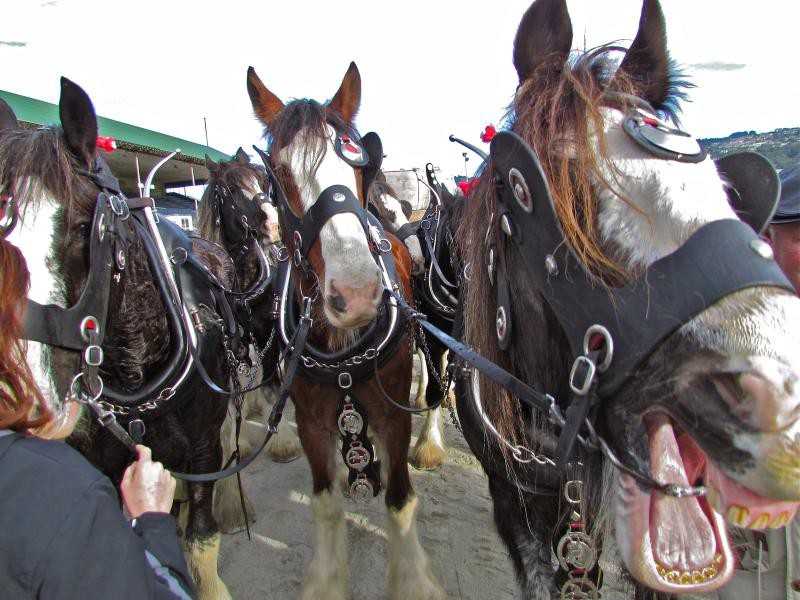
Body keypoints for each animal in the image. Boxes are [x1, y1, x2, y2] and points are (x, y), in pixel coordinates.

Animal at [197, 148, 303, 533]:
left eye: (260, 181)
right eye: (229, 190)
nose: (272, 225)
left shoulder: (268, 331)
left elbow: (272, 382)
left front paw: (284, 442)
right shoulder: (230, 345)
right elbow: (229, 410)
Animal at [247, 61, 445, 600]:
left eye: (356, 165)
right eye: (280, 173)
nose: (356, 295)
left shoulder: (392, 416)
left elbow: (399, 499)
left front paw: (413, 580)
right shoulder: (310, 421)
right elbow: (326, 500)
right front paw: (327, 582)